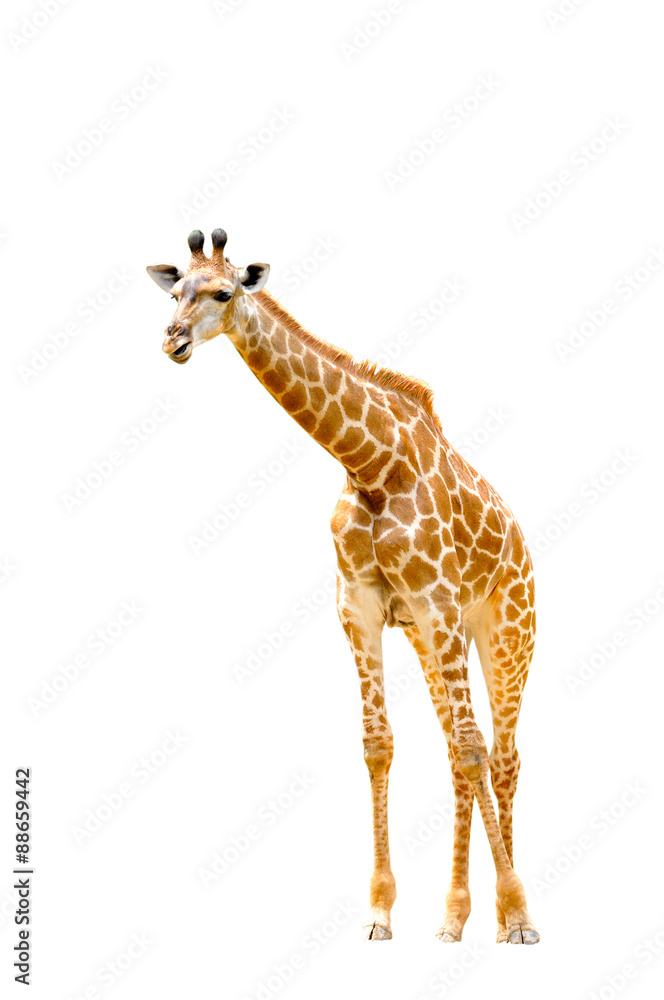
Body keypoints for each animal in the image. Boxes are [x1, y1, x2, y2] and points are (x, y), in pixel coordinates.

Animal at [147, 229, 540, 945]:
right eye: (175, 291)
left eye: (223, 293)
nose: (173, 340)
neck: (371, 464)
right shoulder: (361, 606)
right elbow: (379, 745)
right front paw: (381, 912)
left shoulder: (440, 602)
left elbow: (475, 752)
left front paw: (520, 914)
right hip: (430, 640)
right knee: (456, 750)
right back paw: (454, 917)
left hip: (506, 632)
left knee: (500, 757)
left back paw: (505, 919)